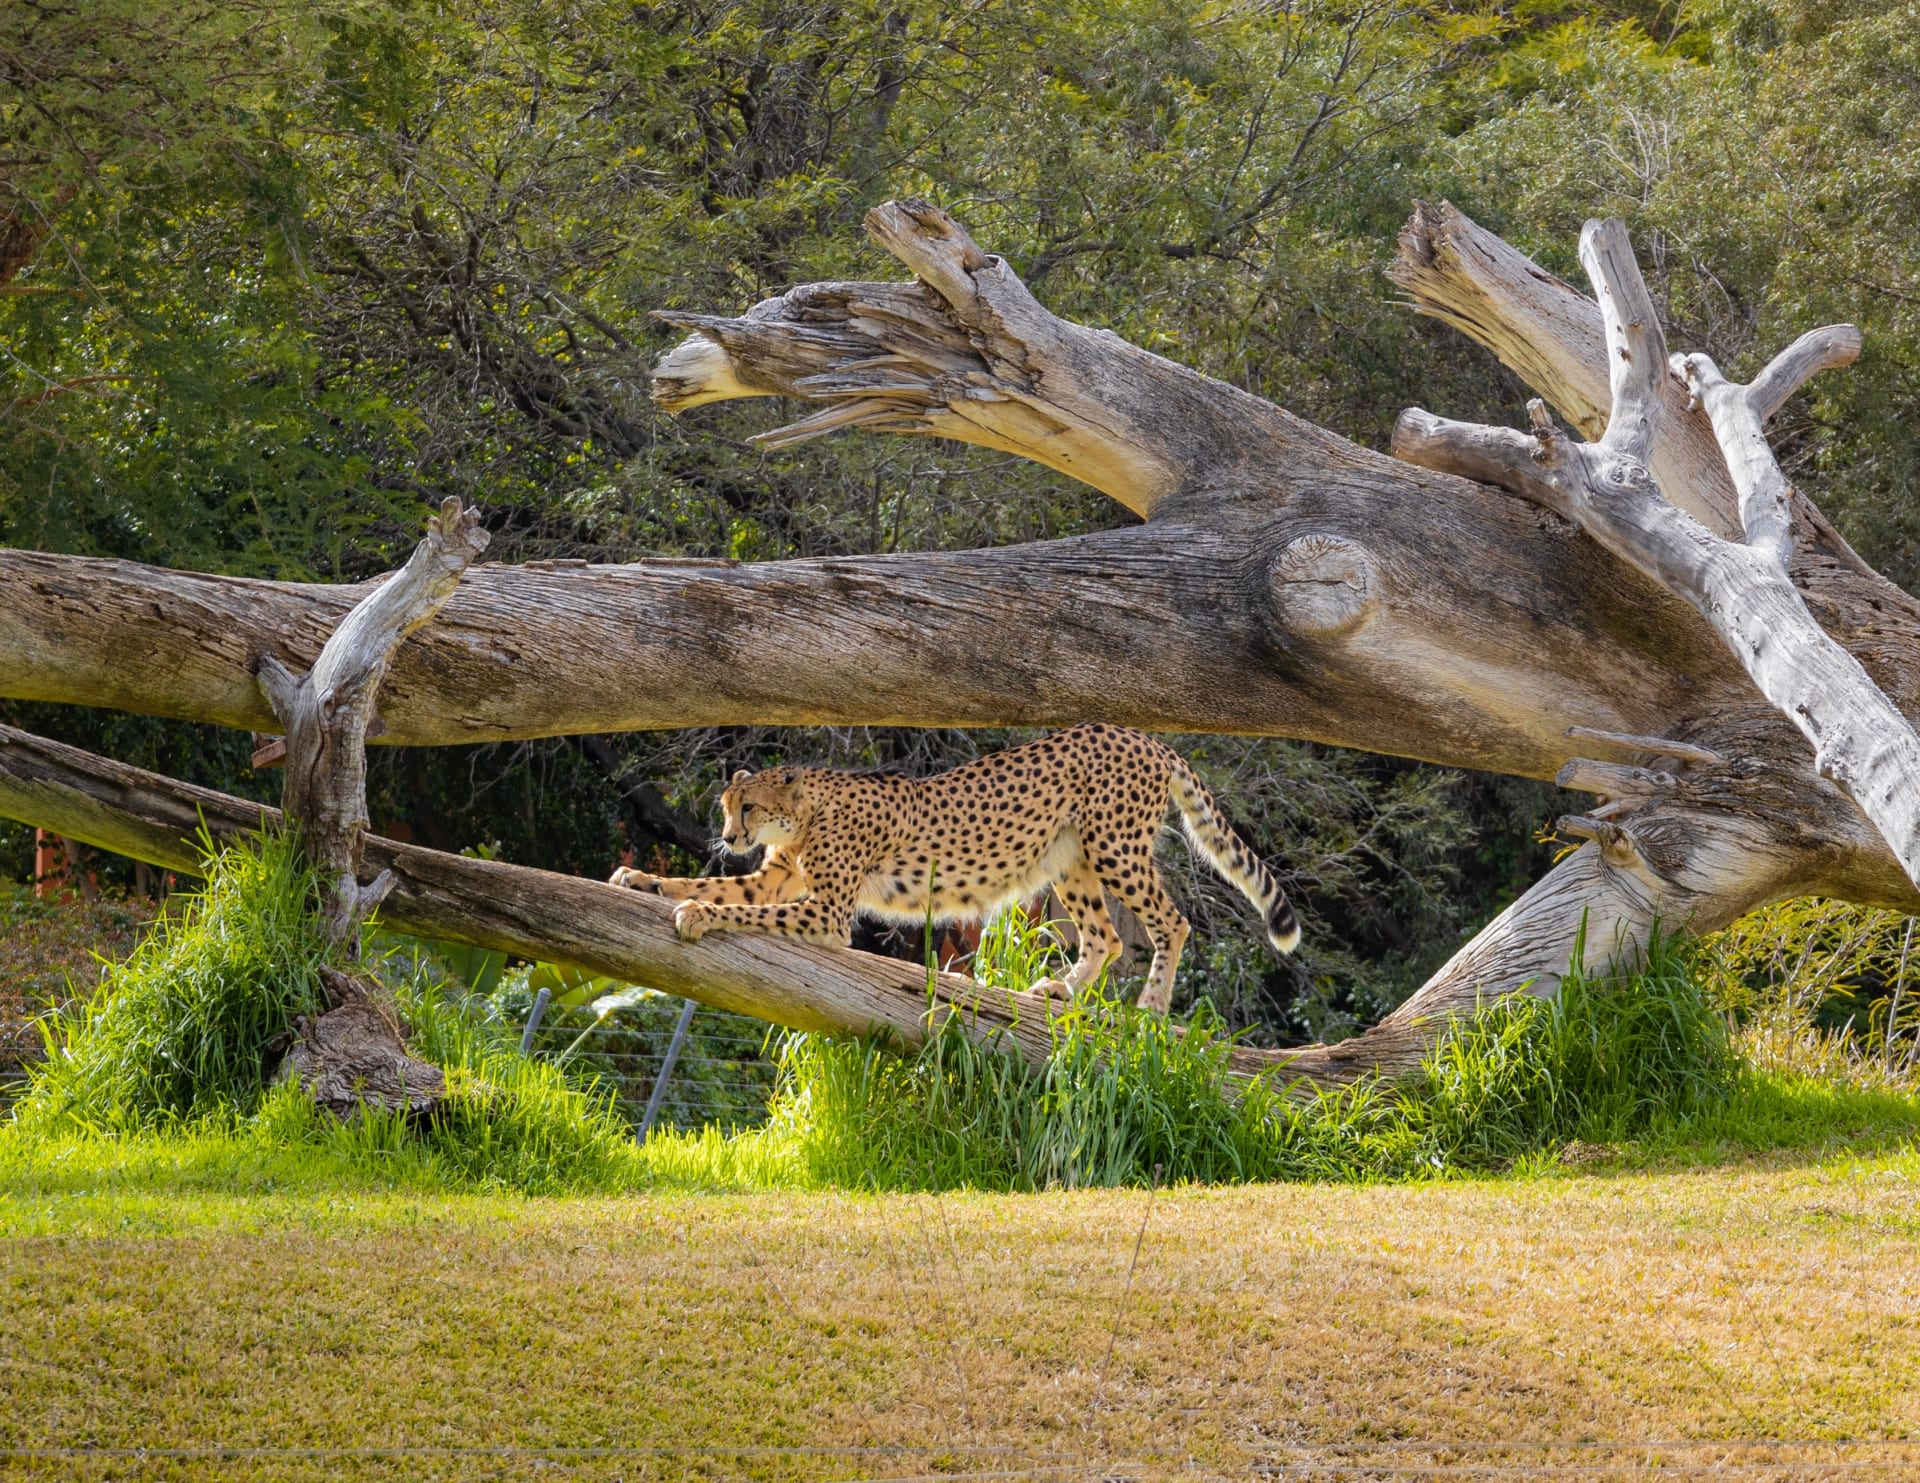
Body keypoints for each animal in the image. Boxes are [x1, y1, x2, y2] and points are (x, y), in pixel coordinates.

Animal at [608, 722, 1300, 1014]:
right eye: (728, 808)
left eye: (747, 807)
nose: (729, 835)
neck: (805, 811)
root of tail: (1143, 735)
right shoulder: (776, 876)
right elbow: (713, 882)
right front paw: (640, 880)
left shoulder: (826, 912)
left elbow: (732, 904)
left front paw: (698, 914)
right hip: (1068, 856)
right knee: (1103, 936)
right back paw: (1061, 992)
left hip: (1114, 847)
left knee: (1172, 923)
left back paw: (1152, 1008)